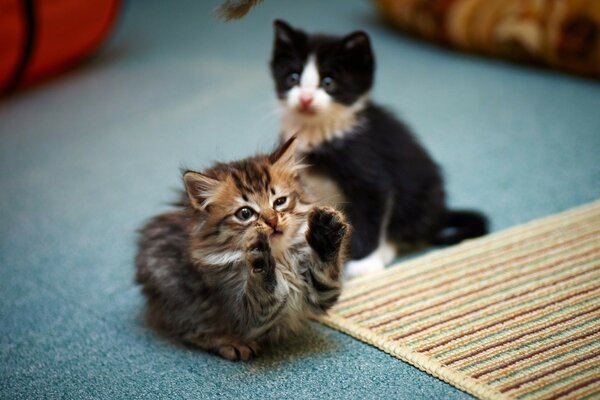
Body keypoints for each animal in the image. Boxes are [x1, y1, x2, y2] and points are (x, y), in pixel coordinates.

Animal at [135, 138, 352, 362]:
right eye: (245, 213)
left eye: (280, 202)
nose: (273, 222)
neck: (280, 258)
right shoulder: (245, 314)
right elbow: (263, 291)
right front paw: (259, 257)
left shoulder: (318, 295)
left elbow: (326, 271)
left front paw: (325, 231)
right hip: (178, 297)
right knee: (191, 329)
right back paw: (233, 343)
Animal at [270, 20, 486, 280]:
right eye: (293, 78)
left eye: (328, 82)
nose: (305, 99)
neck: (318, 132)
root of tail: (442, 212)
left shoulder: (368, 168)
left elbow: (370, 215)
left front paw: (364, 264)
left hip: (418, 200)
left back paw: (385, 251)